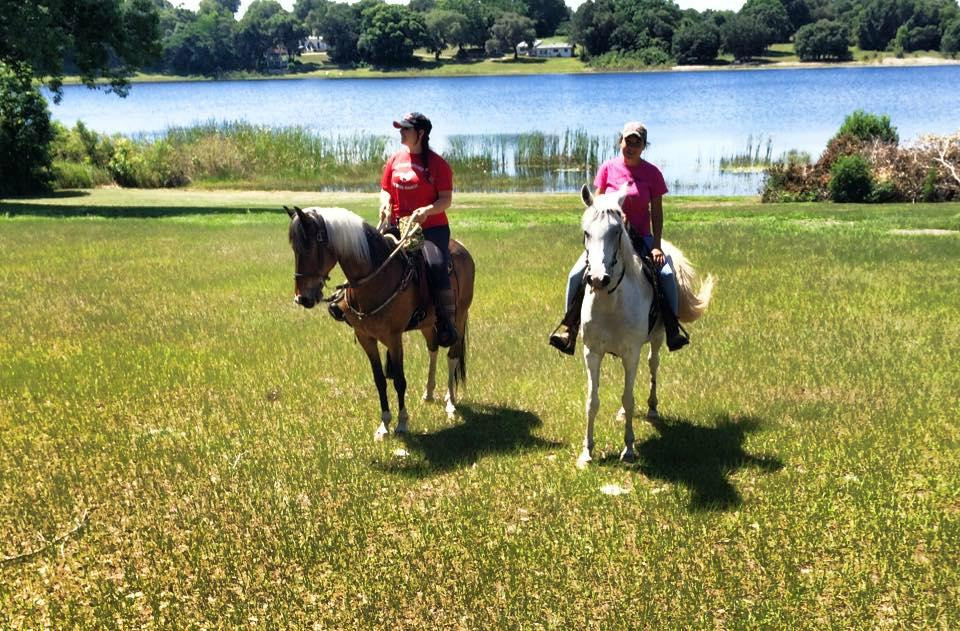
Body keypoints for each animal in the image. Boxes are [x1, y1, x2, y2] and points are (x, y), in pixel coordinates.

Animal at [288, 206, 476, 440]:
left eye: (310, 246)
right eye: (294, 247)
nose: (302, 298)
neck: (377, 278)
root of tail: (462, 249)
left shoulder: (394, 339)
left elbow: (399, 380)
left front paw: (402, 422)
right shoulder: (366, 338)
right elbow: (379, 380)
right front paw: (384, 424)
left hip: (458, 318)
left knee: (452, 355)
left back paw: (450, 402)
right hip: (427, 323)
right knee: (432, 349)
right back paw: (429, 393)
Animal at [576, 185, 712, 466]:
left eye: (617, 232)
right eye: (586, 232)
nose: (598, 279)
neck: (611, 301)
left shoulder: (632, 353)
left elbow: (629, 399)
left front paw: (628, 449)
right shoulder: (591, 352)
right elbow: (592, 401)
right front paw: (587, 452)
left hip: (656, 342)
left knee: (652, 366)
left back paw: (652, 408)